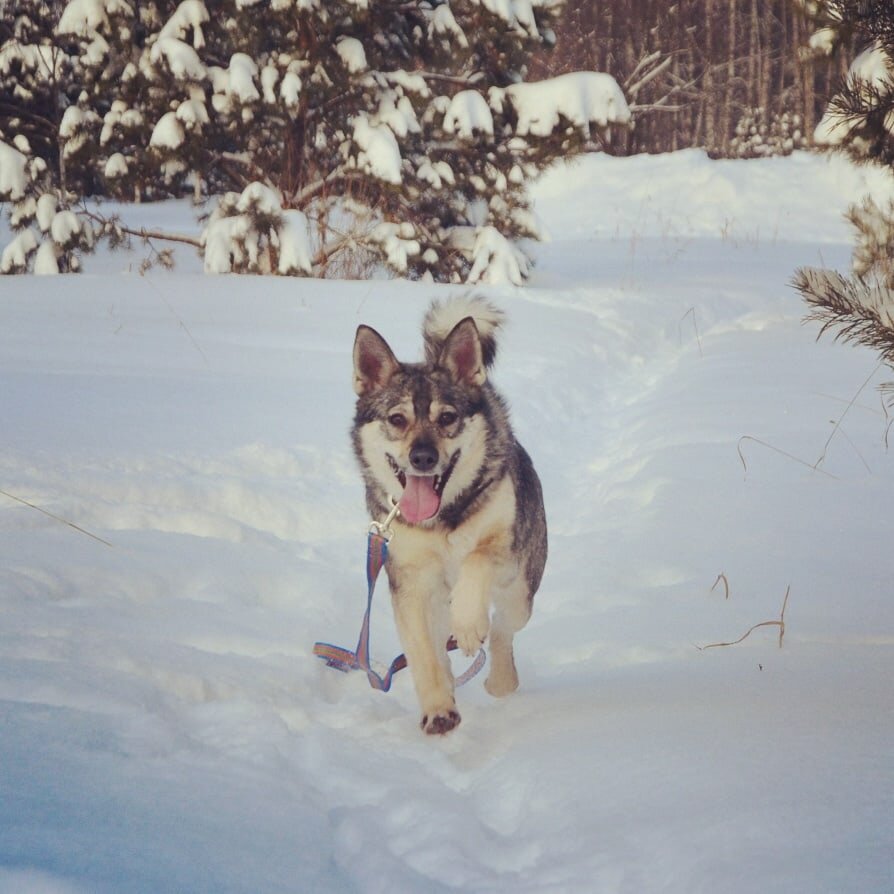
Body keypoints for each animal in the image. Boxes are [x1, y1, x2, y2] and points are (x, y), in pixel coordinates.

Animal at [354, 298, 548, 740]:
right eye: (397, 419)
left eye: (447, 417)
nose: (423, 458)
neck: (441, 520)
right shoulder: (408, 582)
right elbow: (424, 656)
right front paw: (438, 710)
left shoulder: (504, 548)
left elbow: (476, 560)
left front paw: (470, 624)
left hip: (520, 592)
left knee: (503, 629)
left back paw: (499, 676)